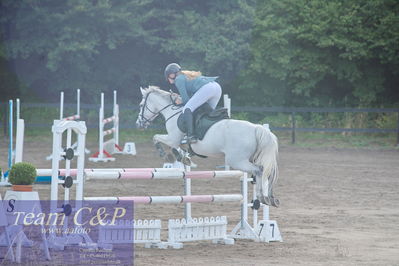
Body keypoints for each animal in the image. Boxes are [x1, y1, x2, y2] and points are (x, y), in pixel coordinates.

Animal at [136, 86, 280, 207]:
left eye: (141, 105)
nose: (139, 123)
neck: (173, 112)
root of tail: (256, 128)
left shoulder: (172, 139)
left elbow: (156, 138)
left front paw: (166, 154)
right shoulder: (178, 141)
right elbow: (181, 150)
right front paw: (185, 158)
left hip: (237, 161)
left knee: (259, 170)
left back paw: (262, 197)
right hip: (249, 158)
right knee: (266, 172)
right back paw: (269, 198)